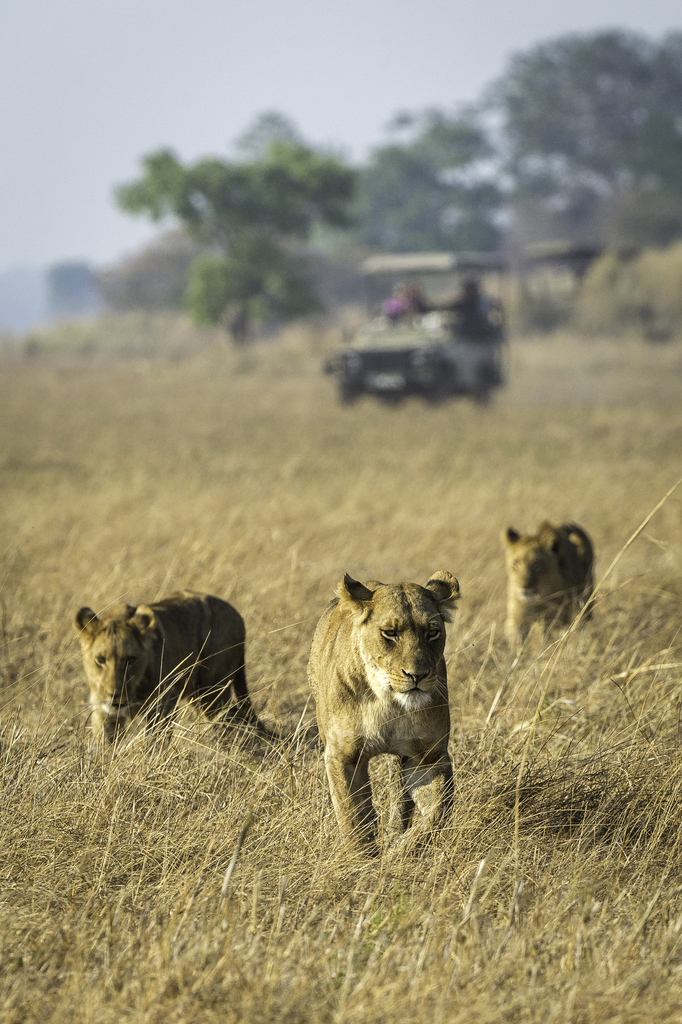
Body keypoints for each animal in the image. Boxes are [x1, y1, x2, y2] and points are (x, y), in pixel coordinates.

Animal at [71, 589, 258, 741]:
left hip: (211, 693)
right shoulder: (103, 711)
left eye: (130, 659)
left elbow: (155, 743)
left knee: (233, 719)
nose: (115, 695)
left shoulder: (162, 706)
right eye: (100, 659)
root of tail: (238, 615)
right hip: (196, 695)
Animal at [307, 573, 456, 851]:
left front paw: (400, 850)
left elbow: (438, 811)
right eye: (390, 633)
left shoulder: (429, 755)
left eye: (433, 633)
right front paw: (364, 859)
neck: (388, 702)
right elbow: (355, 819)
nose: (417, 675)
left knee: (399, 797)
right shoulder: (343, 756)